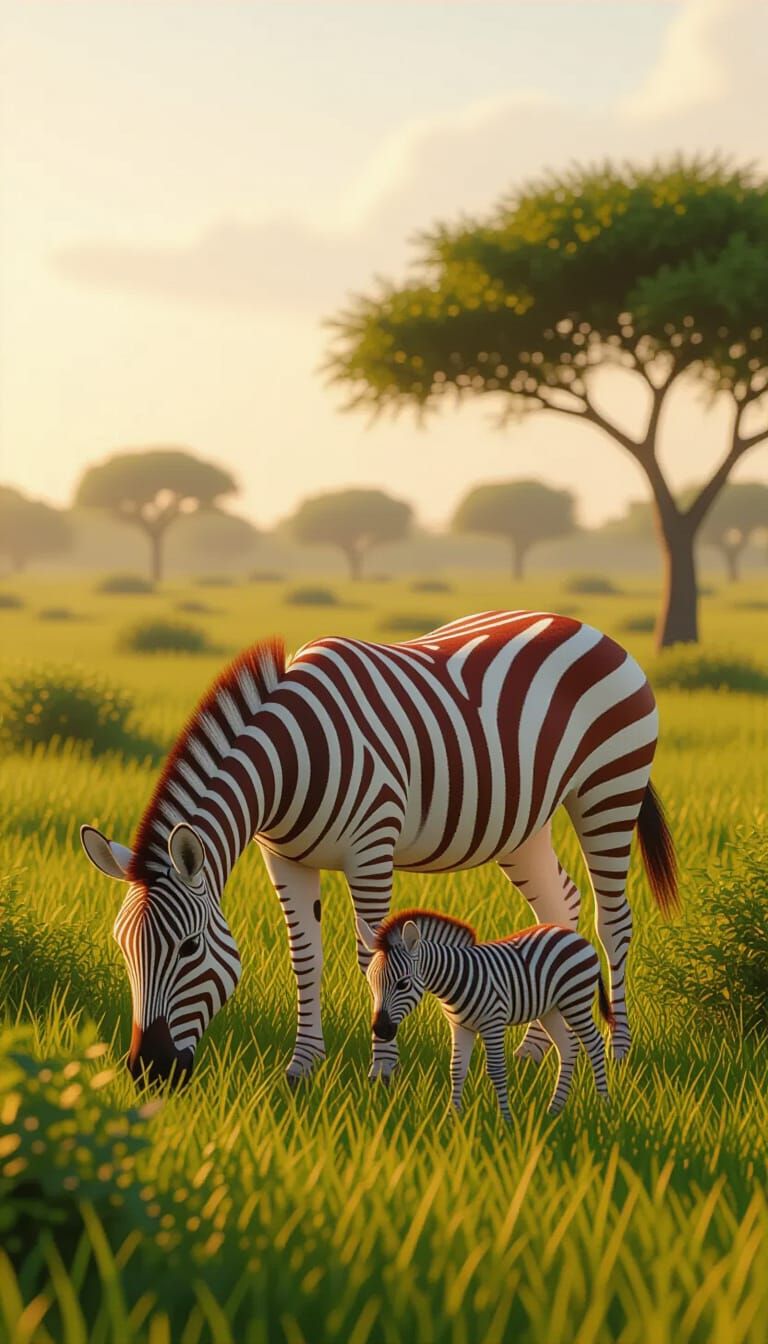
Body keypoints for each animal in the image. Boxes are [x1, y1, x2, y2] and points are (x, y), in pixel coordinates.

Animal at [79, 610, 677, 1089]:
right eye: (123, 949)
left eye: (188, 949)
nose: (147, 1070)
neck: (291, 763)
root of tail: (586, 627)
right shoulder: (285, 859)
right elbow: (305, 956)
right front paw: (302, 1066)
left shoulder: (370, 852)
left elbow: (374, 955)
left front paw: (382, 1073)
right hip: (522, 823)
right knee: (559, 906)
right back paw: (537, 1048)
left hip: (608, 789)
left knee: (612, 920)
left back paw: (619, 1053)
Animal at [357, 909, 614, 1118]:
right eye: (370, 982)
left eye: (403, 984)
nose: (380, 1029)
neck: (456, 979)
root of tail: (575, 935)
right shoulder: (460, 1027)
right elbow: (456, 1070)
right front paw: (452, 1119)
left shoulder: (493, 1024)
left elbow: (497, 1071)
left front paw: (505, 1121)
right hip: (549, 1010)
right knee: (568, 1046)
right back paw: (554, 1110)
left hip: (575, 1001)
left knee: (594, 1043)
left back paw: (604, 1104)